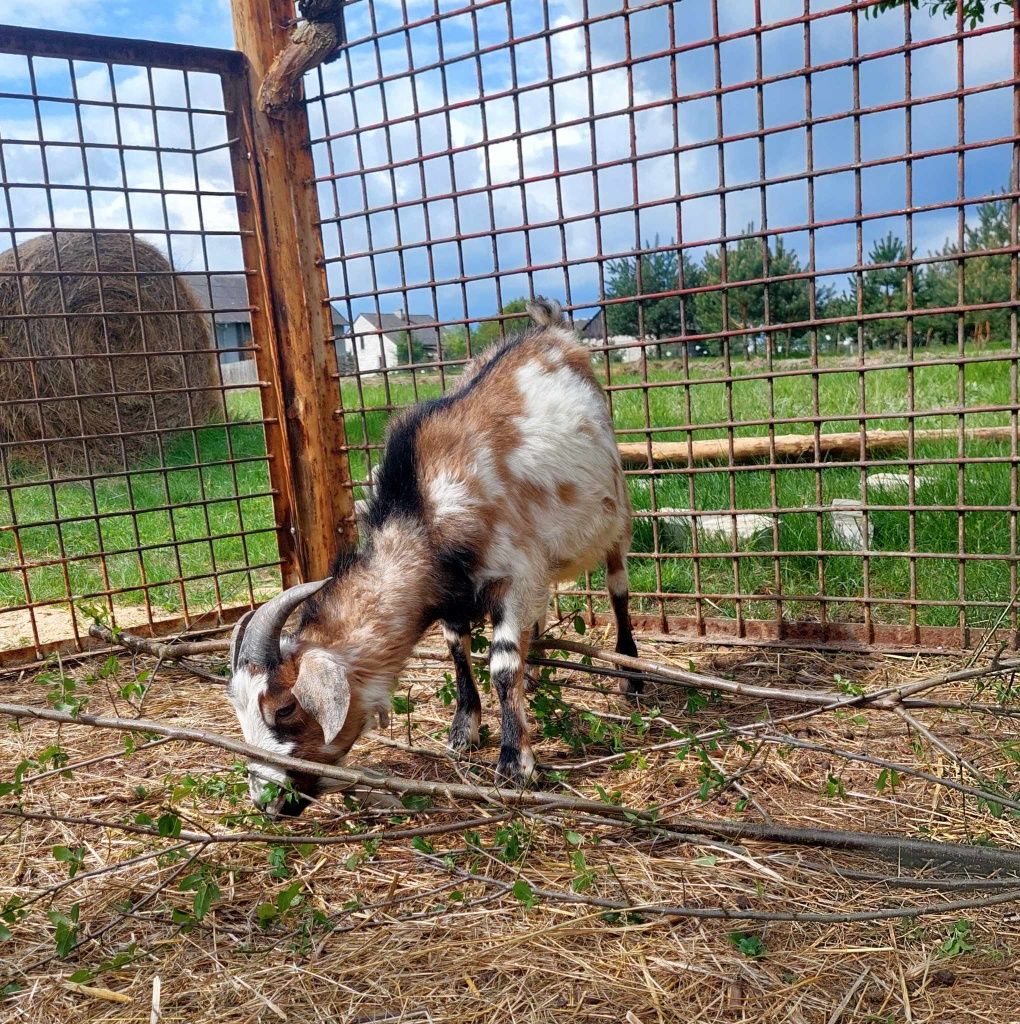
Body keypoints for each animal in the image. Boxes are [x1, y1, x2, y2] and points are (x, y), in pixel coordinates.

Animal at [229, 299, 639, 815]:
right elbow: (456, 649)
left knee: (618, 588)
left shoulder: (514, 572)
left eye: (283, 707)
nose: (267, 801)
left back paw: (631, 676)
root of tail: (551, 331)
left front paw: (515, 762)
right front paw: (464, 730)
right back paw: (538, 673)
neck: (421, 510)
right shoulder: (455, 592)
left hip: (616, 512)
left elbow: (502, 664)